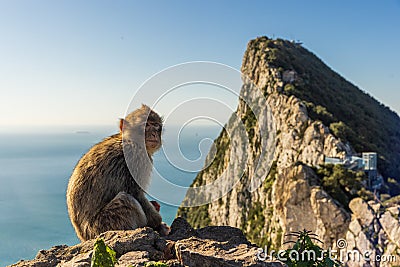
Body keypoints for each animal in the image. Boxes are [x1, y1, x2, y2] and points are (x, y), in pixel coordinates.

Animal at [66, 105, 166, 243]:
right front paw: (157, 222)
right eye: (146, 125)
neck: (128, 140)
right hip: (103, 226)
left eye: (156, 125)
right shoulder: (136, 156)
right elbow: (135, 192)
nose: (154, 134)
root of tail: (84, 237)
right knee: (126, 199)